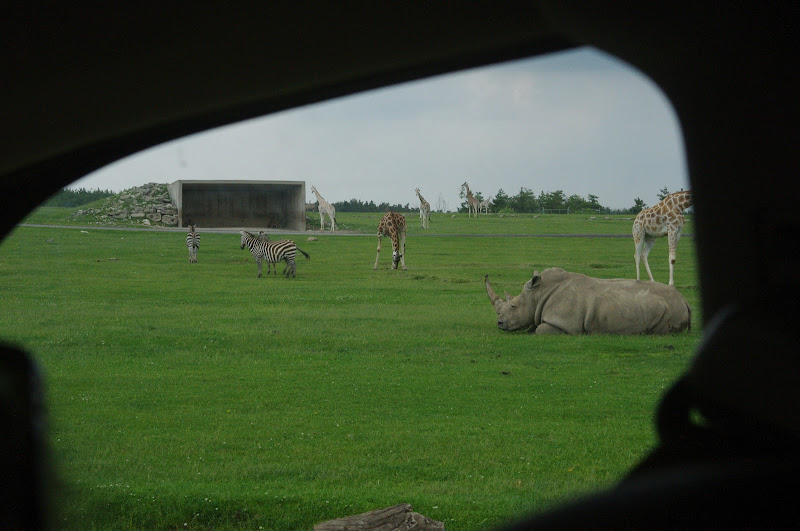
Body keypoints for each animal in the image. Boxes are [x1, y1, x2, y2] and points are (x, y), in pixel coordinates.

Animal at [485, 267, 691, 334]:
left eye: (513, 306)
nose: (499, 323)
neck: (539, 293)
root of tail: (685, 300)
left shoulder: (566, 324)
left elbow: (540, 330)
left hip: (671, 308)